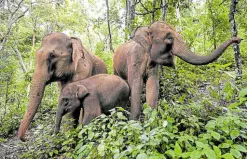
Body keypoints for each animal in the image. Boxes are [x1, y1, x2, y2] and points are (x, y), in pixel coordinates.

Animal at [113, 21, 241, 120]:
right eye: (169, 38)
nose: (238, 39)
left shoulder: (153, 65)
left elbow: (153, 85)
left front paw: (151, 121)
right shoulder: (134, 60)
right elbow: (136, 84)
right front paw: (133, 122)